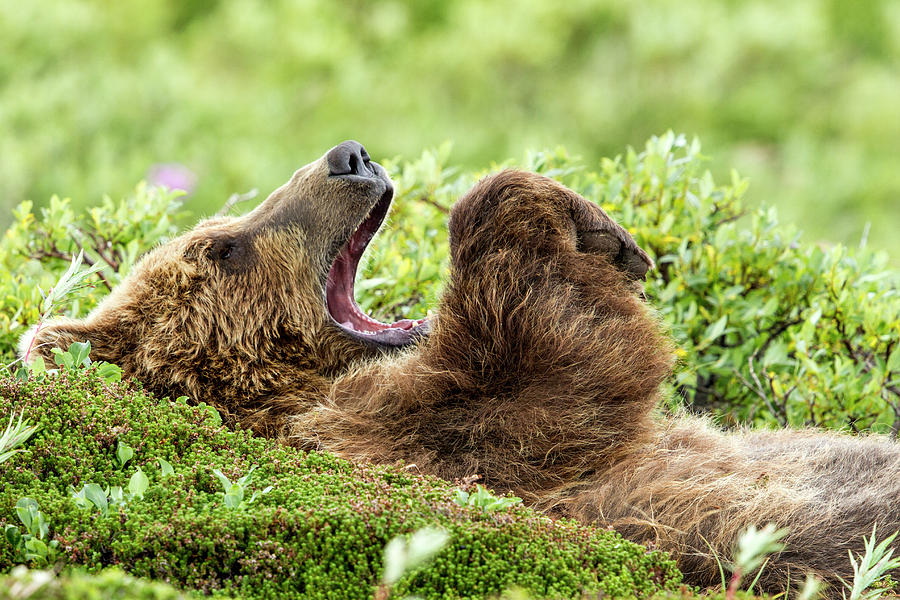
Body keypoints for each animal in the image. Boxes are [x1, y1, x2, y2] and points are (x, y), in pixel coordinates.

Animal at [19, 142, 900, 596]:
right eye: (224, 247)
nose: (348, 156)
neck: (300, 391)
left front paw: (599, 223)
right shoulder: (423, 446)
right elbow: (554, 371)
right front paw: (578, 225)